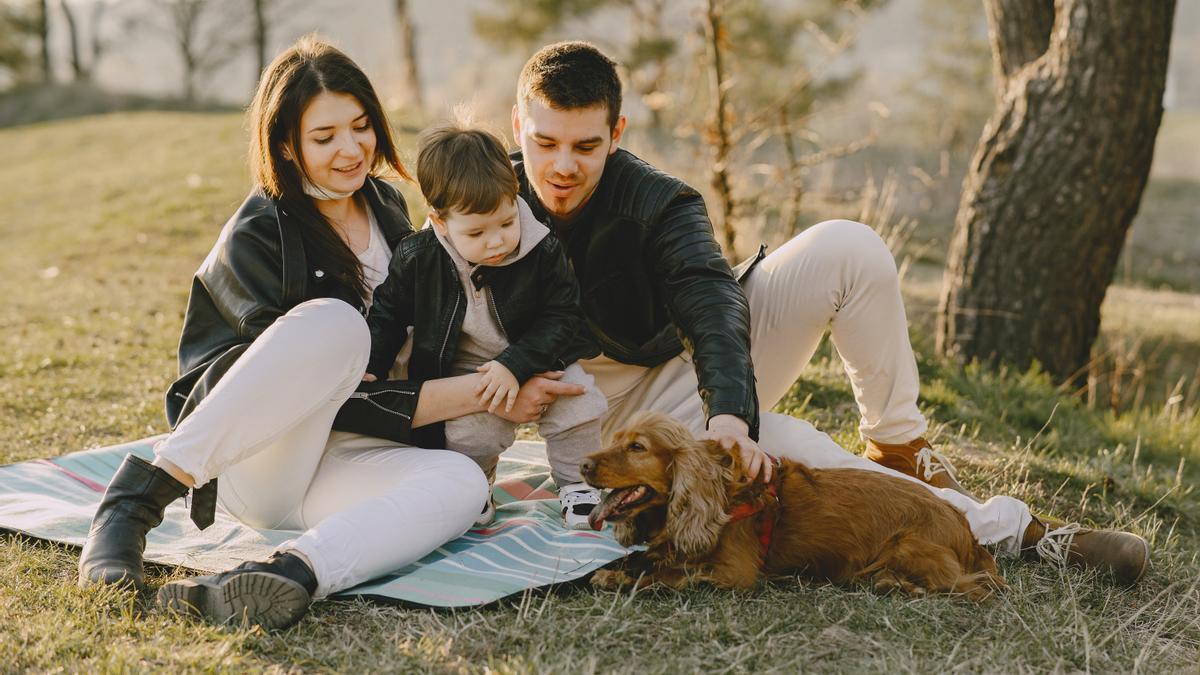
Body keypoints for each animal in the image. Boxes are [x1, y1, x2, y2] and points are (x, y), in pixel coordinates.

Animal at [578, 410, 1003, 598]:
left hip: (907, 545)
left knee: (969, 586)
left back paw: (896, 583)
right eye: (616, 440)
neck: (722, 497)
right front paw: (618, 570)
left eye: (637, 448)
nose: (582, 464)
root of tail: (967, 531)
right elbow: (647, 558)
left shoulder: (735, 572)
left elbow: (668, 575)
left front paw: (622, 580)